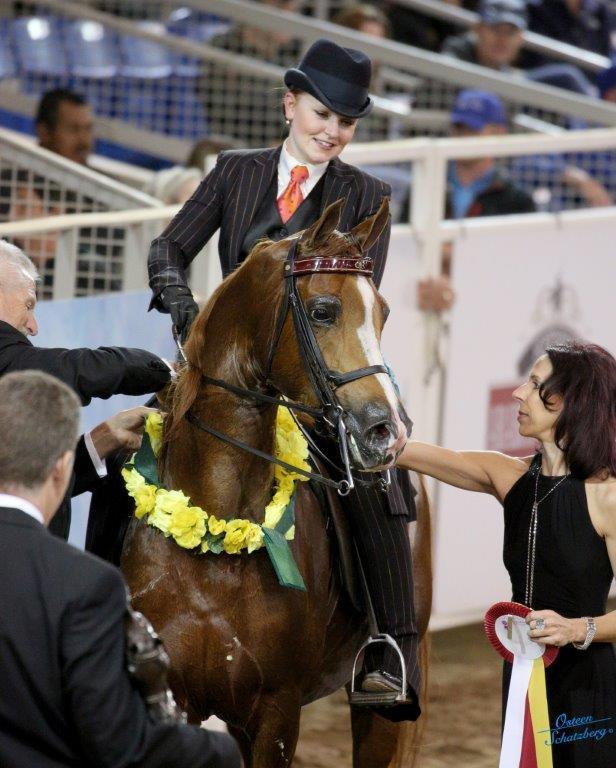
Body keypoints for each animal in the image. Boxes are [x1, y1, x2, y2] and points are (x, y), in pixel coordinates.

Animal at [121, 199, 432, 768]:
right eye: (323, 310)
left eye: (382, 313)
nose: (387, 430)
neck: (214, 542)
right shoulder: (178, 699)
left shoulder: (277, 711)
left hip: (380, 706)